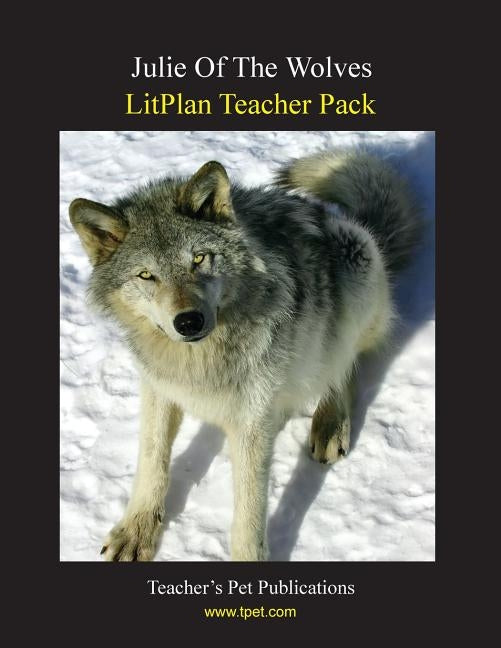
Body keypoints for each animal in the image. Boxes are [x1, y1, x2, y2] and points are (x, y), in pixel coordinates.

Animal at [69, 149, 421, 561]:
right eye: (146, 276)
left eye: (199, 259)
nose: (188, 321)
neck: (200, 360)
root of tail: (350, 220)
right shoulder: (159, 387)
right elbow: (152, 459)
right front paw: (136, 531)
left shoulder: (251, 418)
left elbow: (249, 511)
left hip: (355, 262)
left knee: (342, 364)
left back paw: (330, 422)